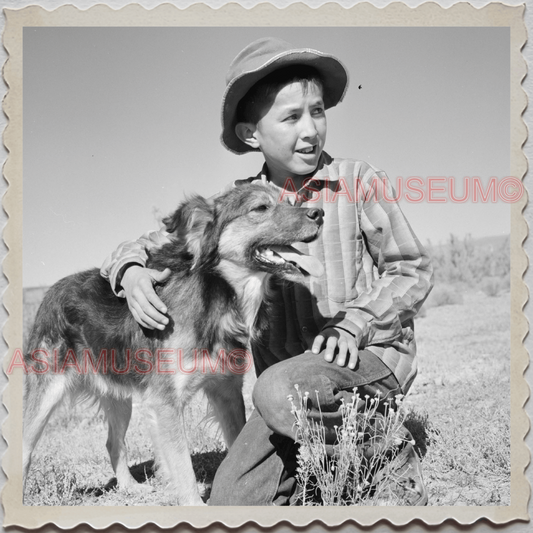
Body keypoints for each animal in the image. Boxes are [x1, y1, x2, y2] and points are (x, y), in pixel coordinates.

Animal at [21, 182, 324, 502]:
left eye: (292, 201)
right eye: (261, 208)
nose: (319, 214)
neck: (218, 293)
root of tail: (52, 289)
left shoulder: (226, 389)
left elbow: (235, 445)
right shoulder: (164, 402)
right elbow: (182, 468)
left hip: (119, 396)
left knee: (113, 443)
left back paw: (131, 489)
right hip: (47, 390)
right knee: (23, 450)